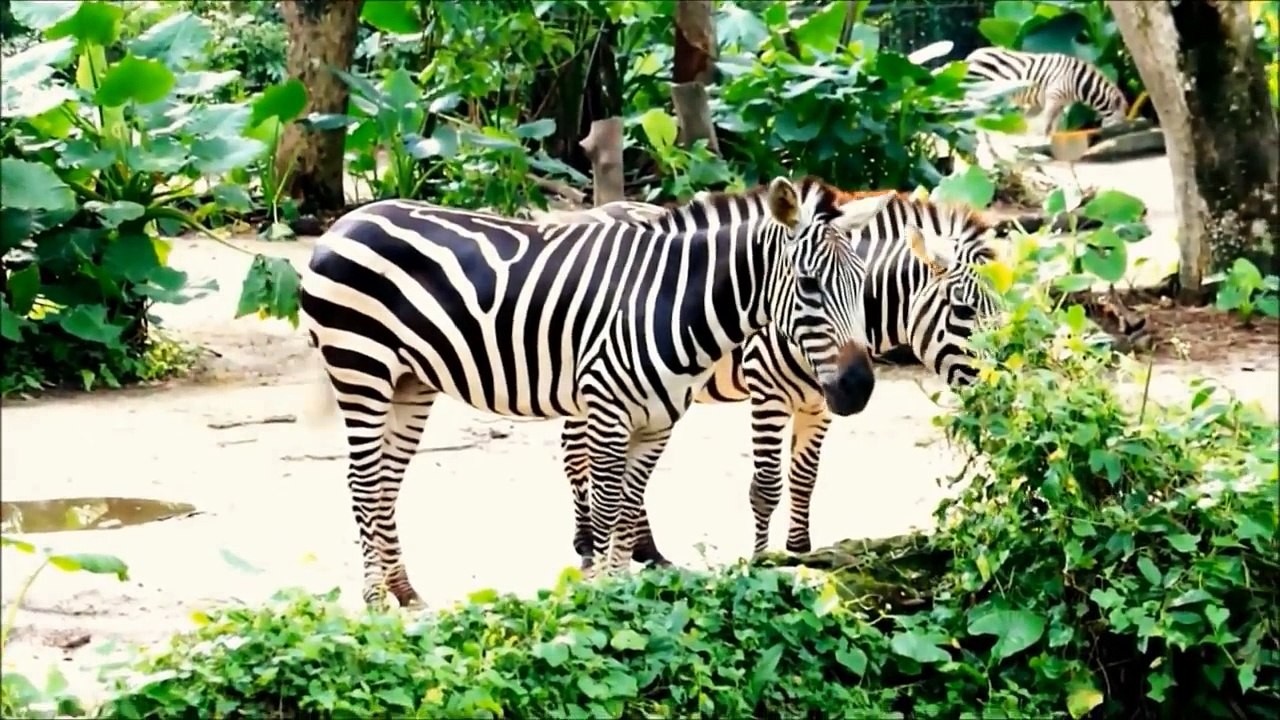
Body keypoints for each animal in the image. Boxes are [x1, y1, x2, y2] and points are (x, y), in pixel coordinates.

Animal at [300, 177, 895, 608]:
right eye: (809, 285)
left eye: (863, 283)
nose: (858, 388)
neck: (671, 303)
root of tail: (346, 221)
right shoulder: (610, 409)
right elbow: (610, 509)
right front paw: (602, 599)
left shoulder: (657, 421)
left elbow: (629, 508)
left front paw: (625, 594)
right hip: (361, 368)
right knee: (362, 482)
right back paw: (375, 600)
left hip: (410, 382)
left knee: (385, 483)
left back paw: (404, 591)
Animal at [545, 192, 999, 568]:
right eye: (964, 310)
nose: (1001, 390)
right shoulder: (767, 392)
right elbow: (765, 487)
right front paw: (764, 562)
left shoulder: (819, 402)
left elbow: (804, 480)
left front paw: (801, 554)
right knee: (574, 452)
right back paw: (588, 545)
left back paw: (645, 550)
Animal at [963, 46, 1129, 137]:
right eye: (1121, 121)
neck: (1077, 82)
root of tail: (971, 55)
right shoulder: (1053, 96)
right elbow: (1047, 121)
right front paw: (1044, 139)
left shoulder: (1061, 103)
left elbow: (1055, 124)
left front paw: (1054, 138)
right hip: (978, 90)